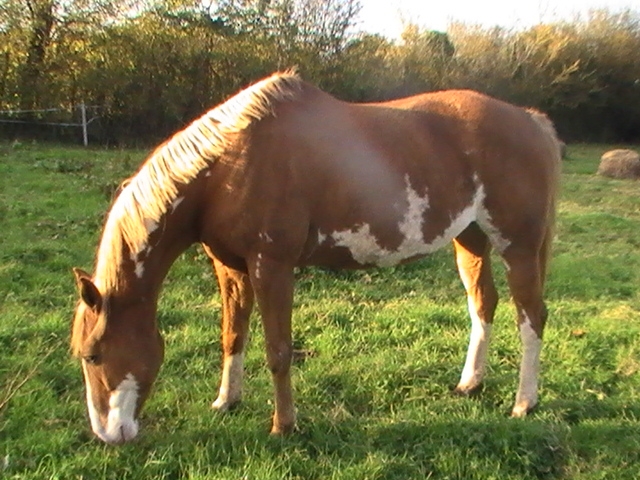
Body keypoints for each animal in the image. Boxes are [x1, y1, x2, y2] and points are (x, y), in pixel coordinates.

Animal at [71, 69, 560, 444]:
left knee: (531, 315)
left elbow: (278, 350)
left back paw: (524, 403)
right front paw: (226, 401)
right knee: (483, 304)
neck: (229, 167)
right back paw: (470, 384)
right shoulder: (230, 267)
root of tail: (532, 121)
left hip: (518, 245)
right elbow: (232, 335)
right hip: (471, 239)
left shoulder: (272, 266)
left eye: (94, 355)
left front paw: (283, 426)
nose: (108, 435)